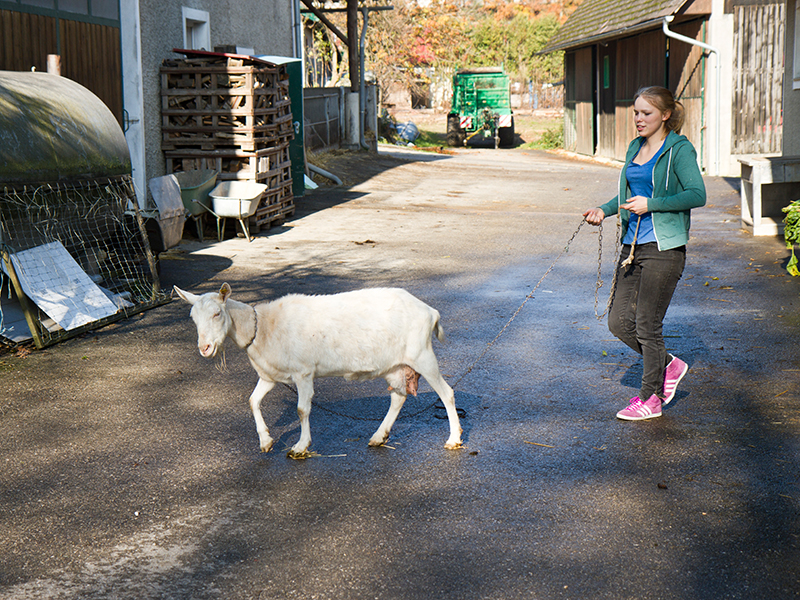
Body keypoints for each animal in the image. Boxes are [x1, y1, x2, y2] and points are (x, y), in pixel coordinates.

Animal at [174, 283, 463, 457]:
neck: (262, 327)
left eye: (217, 314)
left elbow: (302, 410)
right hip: (394, 365)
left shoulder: (303, 372)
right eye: (193, 318)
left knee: (446, 393)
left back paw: (453, 439)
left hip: (422, 355)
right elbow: (253, 400)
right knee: (398, 397)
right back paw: (378, 437)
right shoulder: (269, 376)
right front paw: (265, 441)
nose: (205, 348)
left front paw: (300, 447)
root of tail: (430, 311)